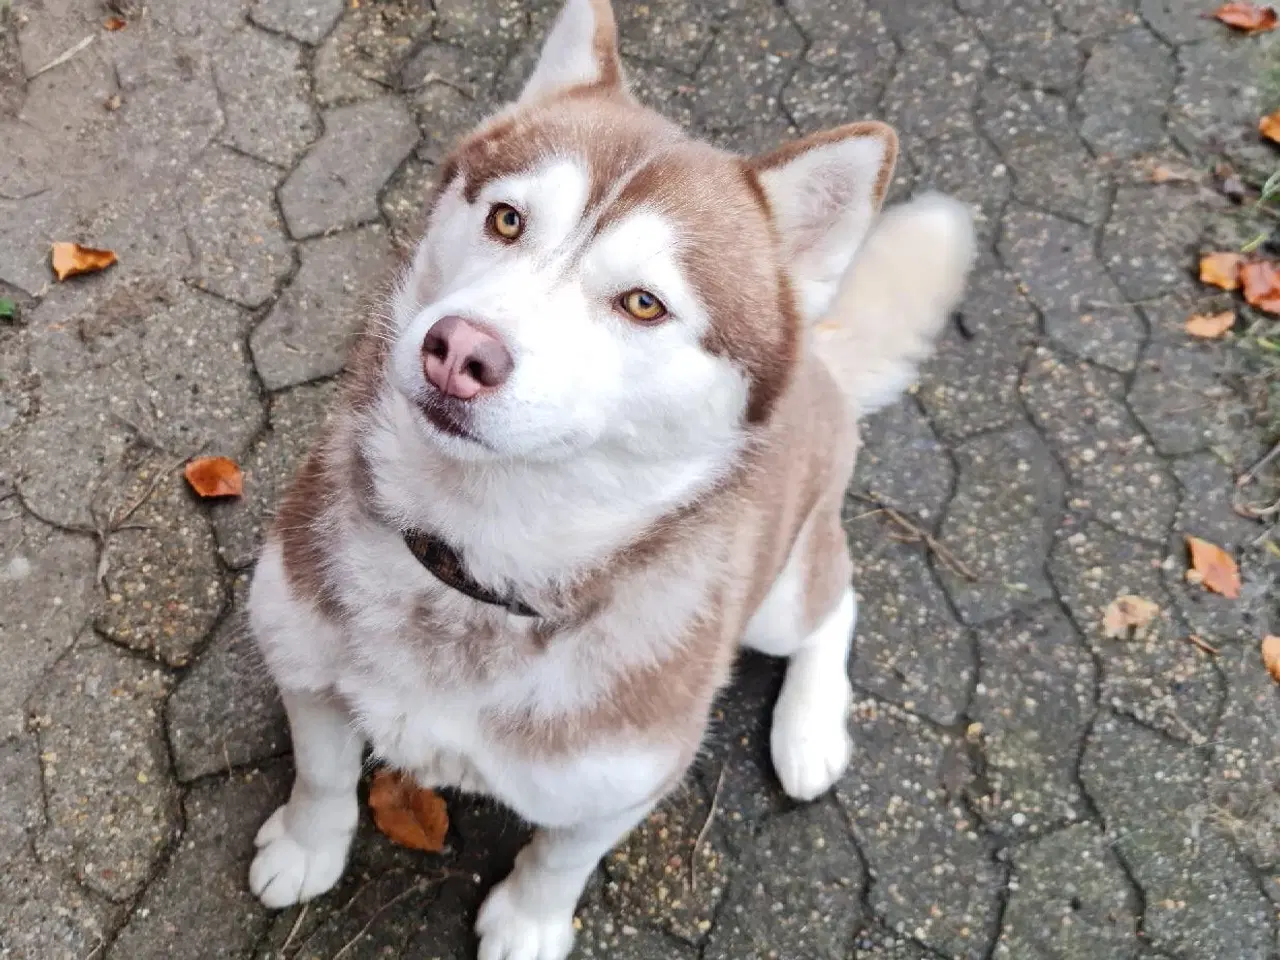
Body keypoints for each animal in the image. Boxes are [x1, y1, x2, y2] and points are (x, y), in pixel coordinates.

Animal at [244, 1, 972, 960]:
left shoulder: (620, 785)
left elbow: (559, 860)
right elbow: (323, 773)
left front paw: (526, 924)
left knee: (835, 600)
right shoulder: (300, 656)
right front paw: (306, 847)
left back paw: (809, 729)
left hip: (779, 597)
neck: (475, 565)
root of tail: (821, 357)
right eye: (506, 220)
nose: (459, 352)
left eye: (642, 303)